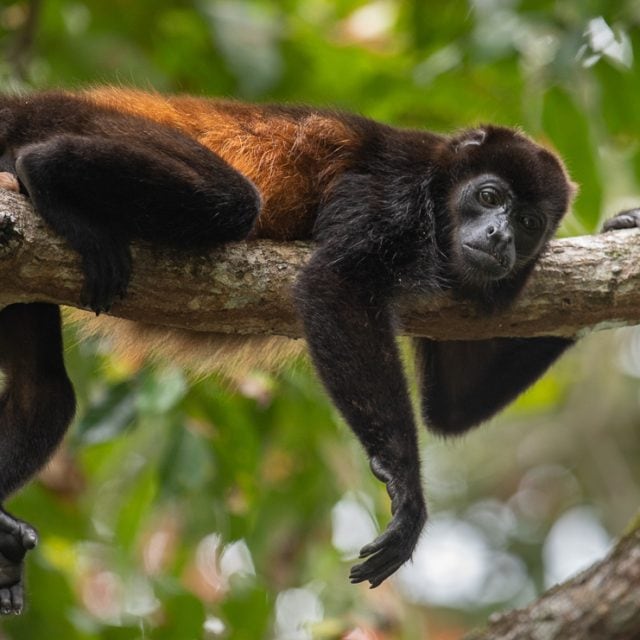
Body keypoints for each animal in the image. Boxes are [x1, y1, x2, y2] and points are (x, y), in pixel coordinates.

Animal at [0, 87, 575, 613]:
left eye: (529, 224)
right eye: (489, 197)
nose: (500, 236)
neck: (437, 196)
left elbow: (449, 408)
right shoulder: (391, 190)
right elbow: (332, 284)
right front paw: (407, 491)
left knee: (44, 393)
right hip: (87, 120)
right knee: (229, 199)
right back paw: (44, 172)